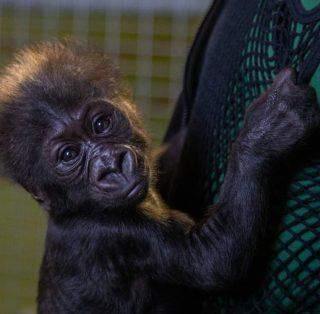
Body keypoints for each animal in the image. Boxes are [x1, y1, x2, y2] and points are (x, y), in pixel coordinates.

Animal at [0, 41, 318, 314]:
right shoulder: (112, 232)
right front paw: (267, 131)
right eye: (68, 155)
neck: (73, 208)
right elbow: (214, 259)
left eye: (101, 124)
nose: (111, 165)